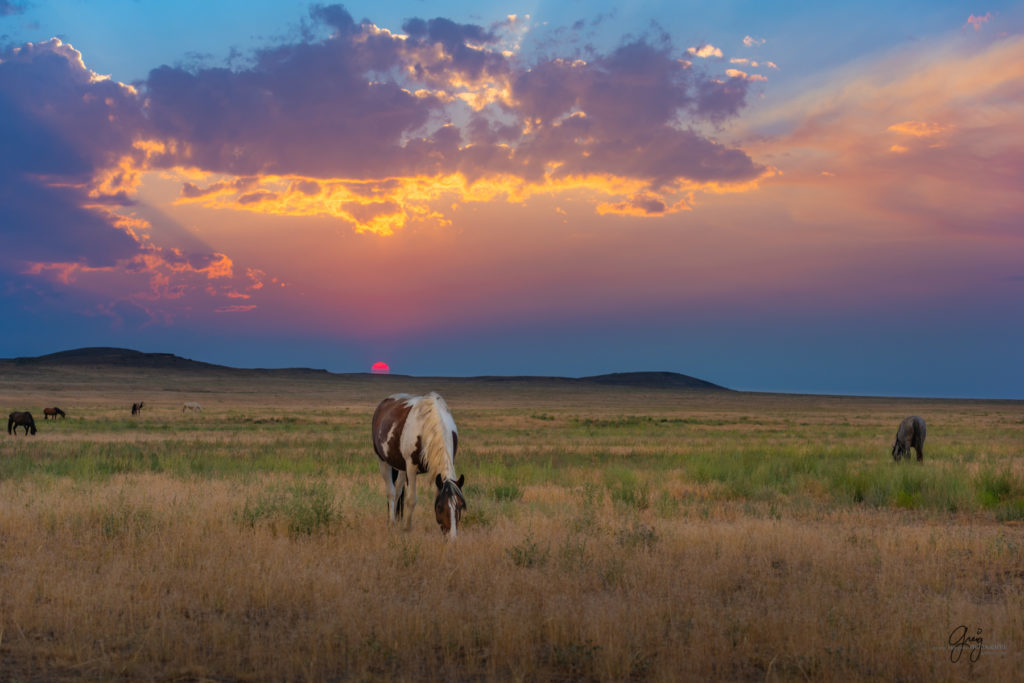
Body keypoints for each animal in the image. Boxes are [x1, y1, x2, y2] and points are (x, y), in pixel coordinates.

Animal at [372, 393, 468, 540]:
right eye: (439, 507)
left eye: (460, 506)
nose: (451, 538)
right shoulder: (411, 468)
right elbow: (411, 499)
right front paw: (407, 528)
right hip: (383, 461)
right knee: (391, 492)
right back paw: (391, 523)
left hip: (401, 467)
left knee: (398, 490)